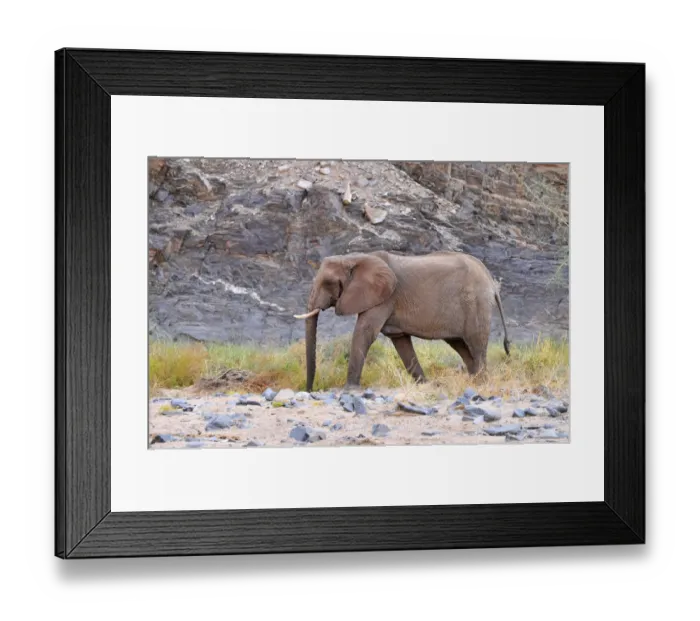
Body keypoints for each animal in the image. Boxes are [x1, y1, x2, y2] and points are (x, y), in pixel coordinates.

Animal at [294, 250, 511, 391]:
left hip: (476, 303)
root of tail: (490, 280)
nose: (309, 390)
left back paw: (481, 383)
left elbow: (365, 332)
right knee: (461, 345)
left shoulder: (384, 298)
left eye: (328, 283)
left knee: (476, 343)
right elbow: (401, 342)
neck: (354, 258)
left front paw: (349, 390)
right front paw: (426, 385)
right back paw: (474, 381)